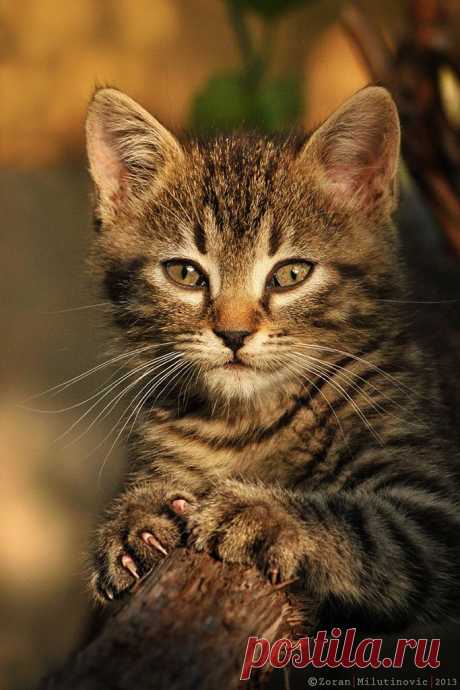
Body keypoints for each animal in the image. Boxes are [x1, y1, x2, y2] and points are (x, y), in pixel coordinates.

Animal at [85, 86, 460, 628]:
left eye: (290, 275)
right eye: (185, 273)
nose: (234, 333)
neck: (249, 422)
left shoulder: (434, 514)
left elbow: (366, 527)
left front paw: (260, 513)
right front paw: (138, 519)